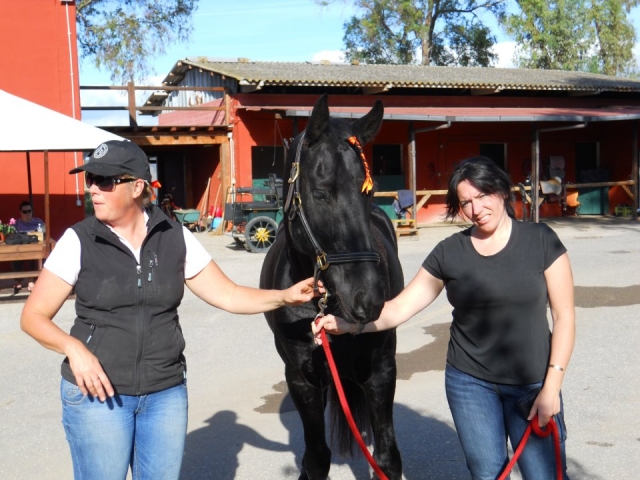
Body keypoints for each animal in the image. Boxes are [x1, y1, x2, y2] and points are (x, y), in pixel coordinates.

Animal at [260, 94, 404, 480]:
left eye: (369, 193)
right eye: (321, 193)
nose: (368, 298)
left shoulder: (381, 373)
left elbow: (387, 458)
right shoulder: (302, 380)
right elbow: (316, 457)